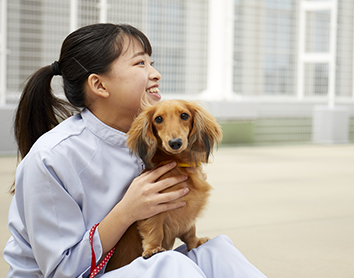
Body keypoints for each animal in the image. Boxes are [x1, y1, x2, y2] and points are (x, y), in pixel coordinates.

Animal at [106, 100, 221, 272]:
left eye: (184, 115)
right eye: (158, 119)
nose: (175, 143)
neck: (178, 164)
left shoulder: (187, 215)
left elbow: (190, 232)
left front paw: (195, 243)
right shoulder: (153, 208)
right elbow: (155, 231)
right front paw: (153, 249)